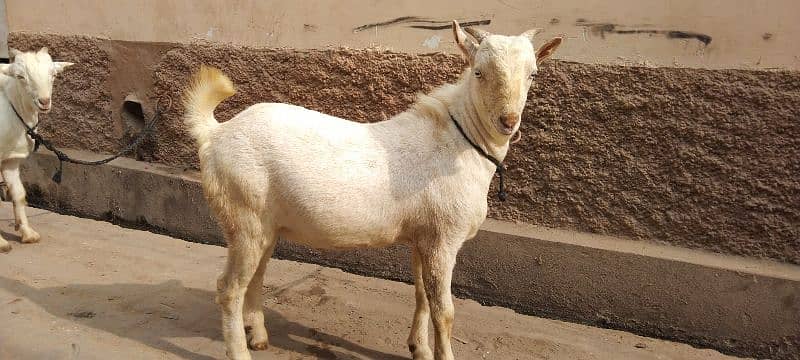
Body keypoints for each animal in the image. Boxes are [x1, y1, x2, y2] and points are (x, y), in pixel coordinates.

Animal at [0, 47, 73, 253]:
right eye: (20, 76)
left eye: (53, 75)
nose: (44, 101)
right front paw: (1, 243)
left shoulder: (10, 159)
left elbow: (18, 193)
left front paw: (27, 234)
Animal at [185, 22, 564, 360]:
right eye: (479, 72)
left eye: (533, 74)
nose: (508, 121)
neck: (461, 140)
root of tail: (215, 134)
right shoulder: (443, 239)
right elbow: (445, 311)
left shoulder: (423, 236)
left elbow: (422, 295)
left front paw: (419, 349)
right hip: (244, 216)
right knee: (228, 289)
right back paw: (240, 351)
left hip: (265, 224)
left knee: (257, 276)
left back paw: (259, 336)